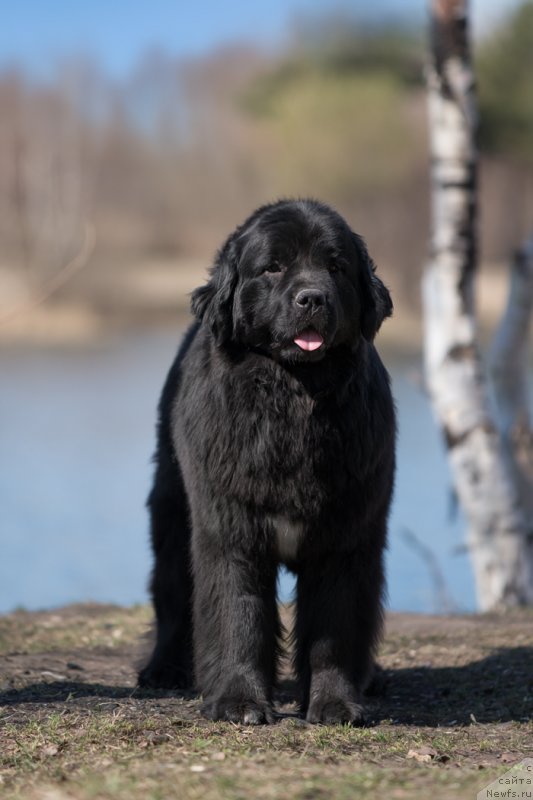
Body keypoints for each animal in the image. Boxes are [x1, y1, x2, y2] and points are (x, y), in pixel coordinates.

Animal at [138, 198, 394, 724]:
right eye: (273, 267)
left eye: (336, 267)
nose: (312, 298)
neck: (294, 399)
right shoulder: (231, 527)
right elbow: (240, 612)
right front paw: (239, 701)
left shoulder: (347, 536)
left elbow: (335, 627)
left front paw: (336, 703)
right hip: (171, 512)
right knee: (171, 594)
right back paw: (163, 669)